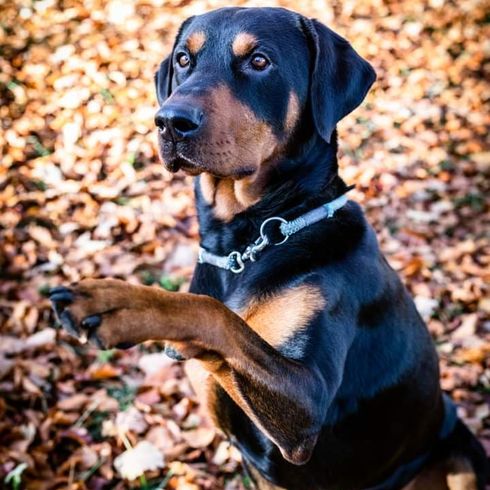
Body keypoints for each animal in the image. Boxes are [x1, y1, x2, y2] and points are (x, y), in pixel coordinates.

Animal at [48, 7, 486, 490]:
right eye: (183, 59)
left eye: (259, 61)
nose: (170, 121)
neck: (248, 240)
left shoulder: (307, 407)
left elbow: (215, 314)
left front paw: (119, 304)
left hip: (461, 452)